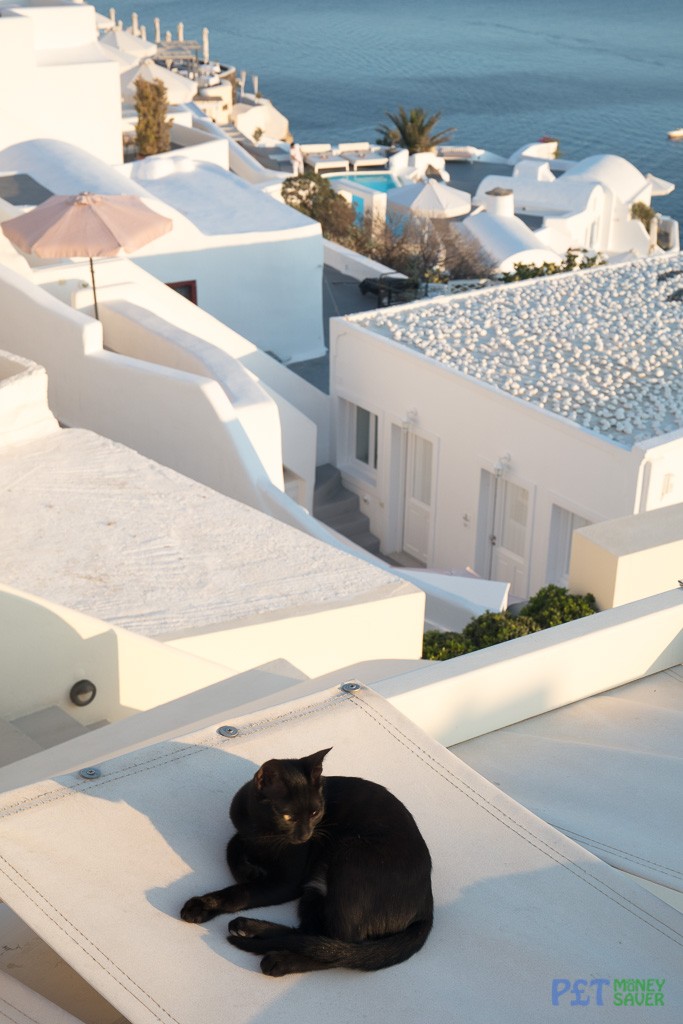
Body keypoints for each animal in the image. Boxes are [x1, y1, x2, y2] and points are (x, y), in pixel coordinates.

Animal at [180, 745, 432, 974]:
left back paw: (279, 960)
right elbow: (231, 847)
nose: (305, 836)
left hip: (350, 854)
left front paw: (201, 905)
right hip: (314, 893)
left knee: (344, 947)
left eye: (315, 813)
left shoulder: (287, 883)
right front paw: (247, 871)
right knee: (315, 936)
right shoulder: (243, 832)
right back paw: (250, 928)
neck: (263, 834)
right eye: (287, 816)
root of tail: (427, 906)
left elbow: (240, 892)